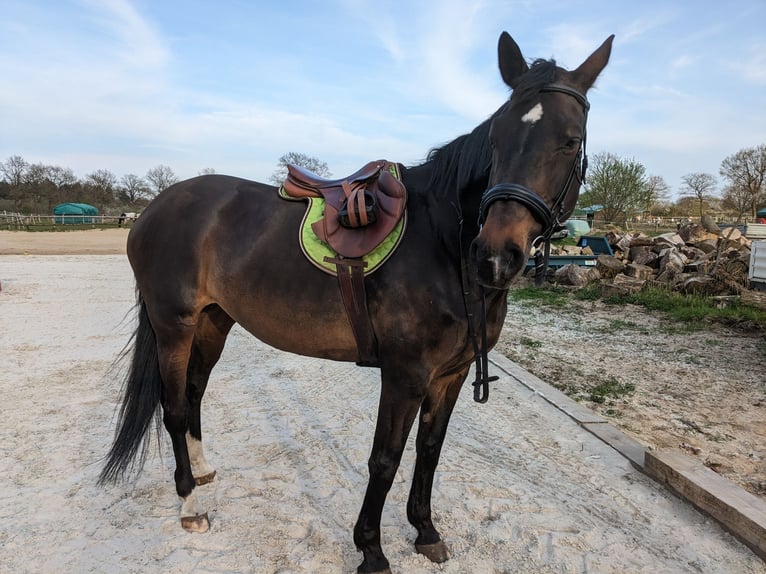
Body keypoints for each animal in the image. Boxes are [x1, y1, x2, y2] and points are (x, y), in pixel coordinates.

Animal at [102, 32, 616, 574]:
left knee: (195, 392)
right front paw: (371, 548)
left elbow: (429, 450)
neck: (444, 243)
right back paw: (190, 505)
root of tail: (155, 207)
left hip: (213, 321)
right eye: (495, 139)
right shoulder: (405, 373)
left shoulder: (452, 374)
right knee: (174, 408)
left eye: (571, 139)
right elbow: (385, 458)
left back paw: (202, 471)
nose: (495, 255)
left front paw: (425, 530)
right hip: (173, 325)